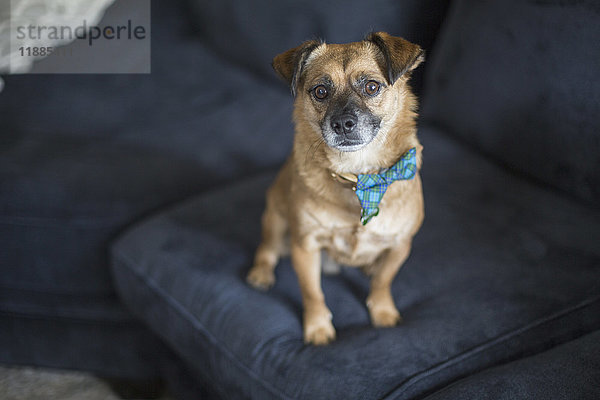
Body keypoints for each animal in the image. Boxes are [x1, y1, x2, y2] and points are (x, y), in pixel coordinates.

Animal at [246, 32, 424, 344]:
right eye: (320, 92)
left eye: (372, 86)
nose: (342, 123)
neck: (357, 176)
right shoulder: (305, 246)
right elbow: (312, 293)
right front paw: (318, 328)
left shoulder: (400, 246)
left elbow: (383, 280)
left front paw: (383, 312)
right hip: (276, 216)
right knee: (267, 248)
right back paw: (261, 274)